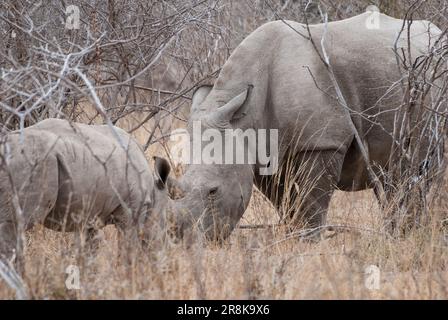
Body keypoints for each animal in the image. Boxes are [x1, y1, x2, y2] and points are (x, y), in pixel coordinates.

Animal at [0, 117, 172, 262]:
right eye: (163, 230)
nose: (163, 260)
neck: (153, 193)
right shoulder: (131, 212)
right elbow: (128, 250)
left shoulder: (91, 215)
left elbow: (90, 250)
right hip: (33, 161)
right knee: (17, 225)